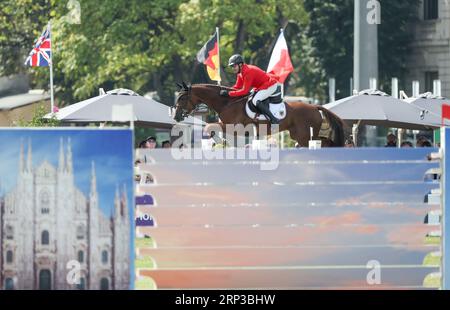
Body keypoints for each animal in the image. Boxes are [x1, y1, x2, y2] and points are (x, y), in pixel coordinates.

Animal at [173, 81, 344, 146]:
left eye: (182, 98)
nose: (176, 116)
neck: (227, 102)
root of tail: (315, 107)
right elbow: (210, 127)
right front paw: (221, 141)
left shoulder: (233, 127)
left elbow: (209, 127)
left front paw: (221, 141)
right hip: (301, 135)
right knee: (325, 142)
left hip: (304, 136)